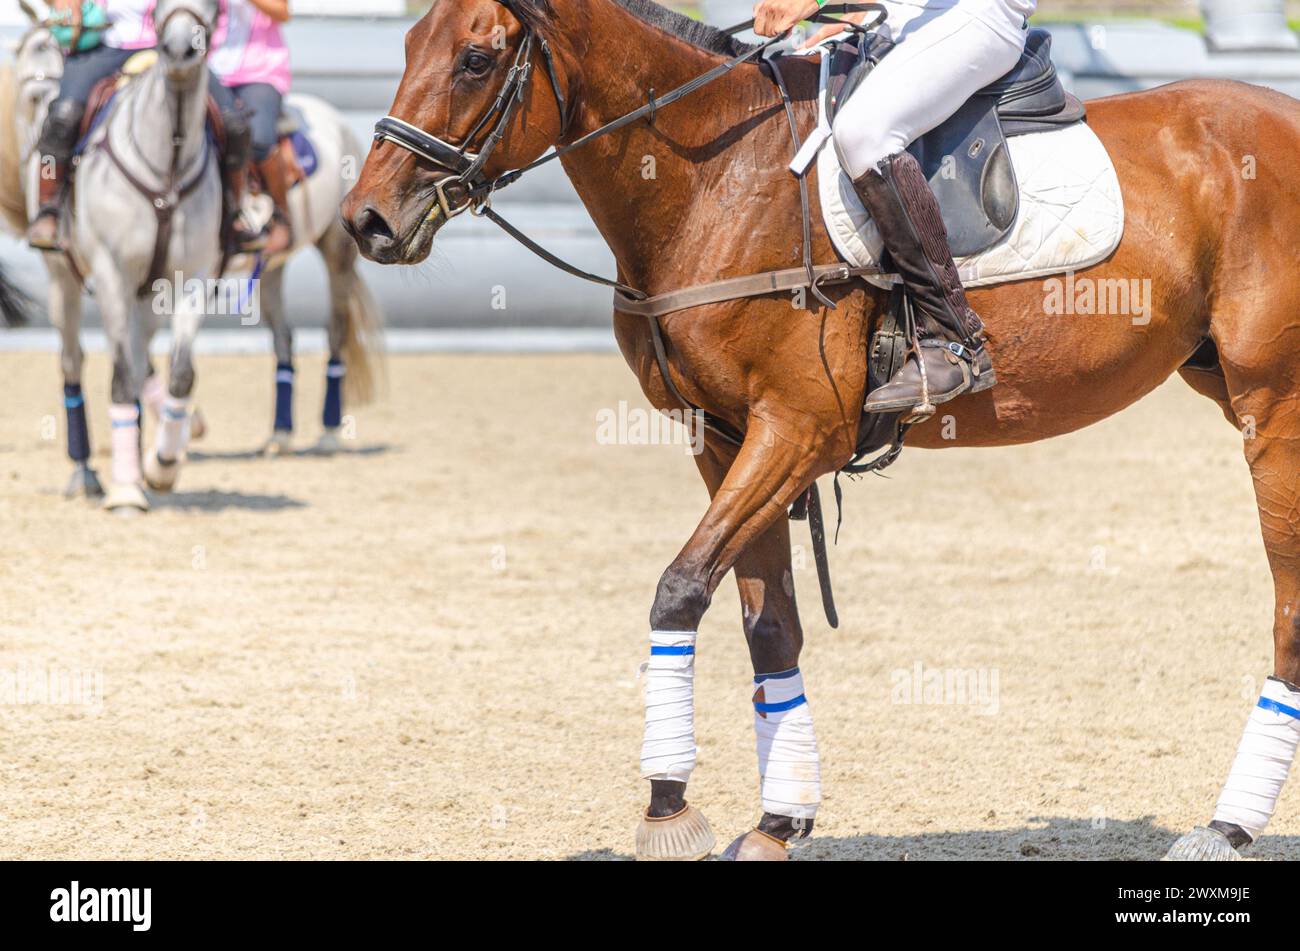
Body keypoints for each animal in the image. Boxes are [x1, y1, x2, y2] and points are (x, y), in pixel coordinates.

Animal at [0, 6, 380, 509]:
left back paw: (328, 434)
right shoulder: (113, 277)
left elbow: (176, 372)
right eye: (26, 75)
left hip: (336, 250)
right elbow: (126, 373)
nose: (38, 158)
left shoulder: (190, 277)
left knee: (334, 331)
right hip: (251, 272)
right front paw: (132, 476)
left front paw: (162, 463)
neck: (166, 160)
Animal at [342, 0, 1300, 861]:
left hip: (1274, 409)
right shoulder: (723, 438)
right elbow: (768, 622)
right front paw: (778, 820)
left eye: (476, 58)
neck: (712, 183)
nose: (366, 220)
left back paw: (1226, 826)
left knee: (1287, 604)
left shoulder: (798, 428)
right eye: (407, 43)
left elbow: (679, 588)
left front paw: (667, 806)